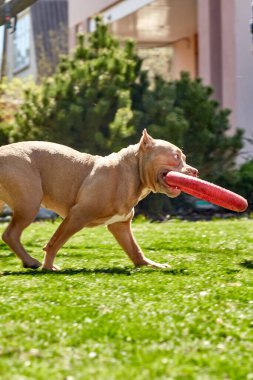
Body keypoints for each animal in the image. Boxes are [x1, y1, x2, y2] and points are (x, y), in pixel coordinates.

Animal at [0, 131, 198, 270]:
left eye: (184, 158)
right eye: (176, 157)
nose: (195, 171)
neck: (131, 172)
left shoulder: (120, 226)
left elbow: (135, 250)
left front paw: (152, 265)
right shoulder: (77, 216)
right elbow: (54, 243)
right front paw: (48, 267)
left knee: (9, 234)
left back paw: (28, 261)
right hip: (29, 205)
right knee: (11, 234)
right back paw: (31, 261)